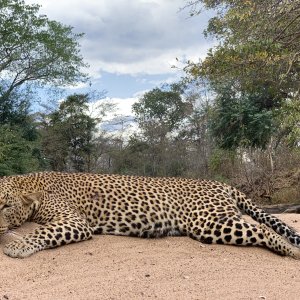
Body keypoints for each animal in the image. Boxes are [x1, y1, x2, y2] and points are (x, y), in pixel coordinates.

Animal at [0, 172, 298, 258]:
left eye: (4, 206)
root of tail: (220, 184)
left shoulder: (74, 220)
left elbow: (43, 231)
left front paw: (18, 246)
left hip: (209, 222)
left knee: (262, 229)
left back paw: (290, 251)